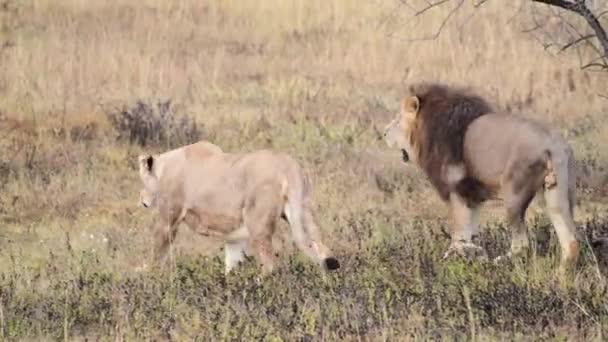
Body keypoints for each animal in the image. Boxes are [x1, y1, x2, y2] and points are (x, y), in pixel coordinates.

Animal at [135, 140, 340, 276]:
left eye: (143, 181)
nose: (142, 199)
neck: (165, 168)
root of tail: (290, 167)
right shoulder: (234, 237)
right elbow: (231, 264)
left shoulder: (169, 217)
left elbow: (157, 251)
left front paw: (148, 274)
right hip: (303, 212)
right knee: (321, 250)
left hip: (258, 223)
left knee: (270, 264)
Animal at [384, 83, 580, 270]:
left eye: (397, 119)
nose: (384, 132)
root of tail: (552, 145)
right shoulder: (472, 196)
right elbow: (469, 231)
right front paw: (469, 253)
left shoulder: (457, 191)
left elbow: (459, 233)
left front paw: (455, 258)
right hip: (558, 194)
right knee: (571, 242)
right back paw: (562, 274)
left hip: (514, 193)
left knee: (522, 244)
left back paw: (496, 262)